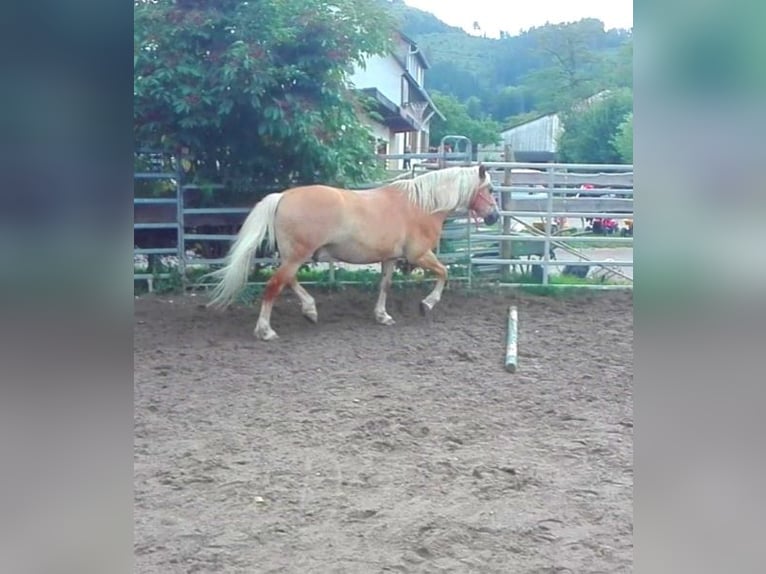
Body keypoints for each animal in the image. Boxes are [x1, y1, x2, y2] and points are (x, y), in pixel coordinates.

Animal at [207, 164, 500, 340]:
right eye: (490, 189)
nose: (495, 217)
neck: (421, 205)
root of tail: (282, 196)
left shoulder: (390, 258)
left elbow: (384, 285)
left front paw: (383, 316)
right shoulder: (419, 255)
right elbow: (444, 273)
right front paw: (426, 304)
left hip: (293, 256)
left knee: (288, 281)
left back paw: (310, 310)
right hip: (296, 257)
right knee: (274, 286)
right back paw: (266, 330)